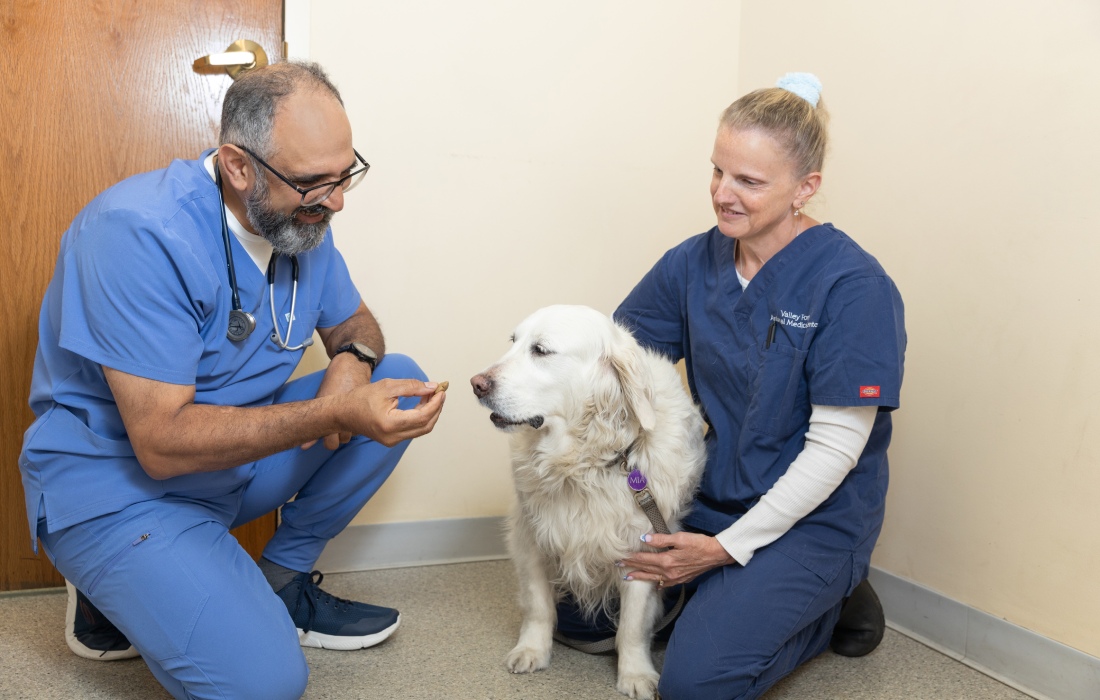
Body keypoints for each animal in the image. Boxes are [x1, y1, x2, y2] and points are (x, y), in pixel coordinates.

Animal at [468, 303, 699, 695]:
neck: (584, 461)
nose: (476, 384)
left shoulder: (642, 549)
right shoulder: (531, 536)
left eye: (541, 350)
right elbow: (538, 606)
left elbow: (632, 626)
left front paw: (635, 673)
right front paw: (532, 649)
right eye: (513, 342)